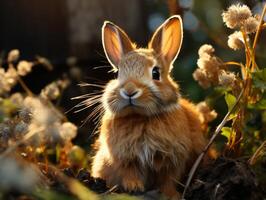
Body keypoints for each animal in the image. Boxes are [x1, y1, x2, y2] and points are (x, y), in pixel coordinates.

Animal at [91, 16, 208, 200]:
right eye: (117, 74)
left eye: (155, 73)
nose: (129, 91)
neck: (141, 117)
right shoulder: (125, 158)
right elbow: (129, 173)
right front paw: (133, 188)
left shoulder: (173, 158)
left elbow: (169, 178)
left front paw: (170, 195)